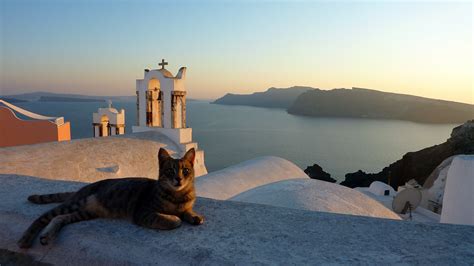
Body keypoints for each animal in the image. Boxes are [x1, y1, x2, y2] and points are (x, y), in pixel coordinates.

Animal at [16, 147, 202, 248]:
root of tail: (83, 188)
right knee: (43, 217)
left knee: (60, 218)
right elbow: (172, 220)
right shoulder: (143, 213)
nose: (178, 179)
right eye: (170, 171)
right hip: (76, 203)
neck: (178, 196)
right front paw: (175, 218)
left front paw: (194, 216)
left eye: (186, 170)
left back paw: (47, 236)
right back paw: (26, 238)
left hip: (85, 212)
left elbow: (188, 211)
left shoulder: (185, 205)